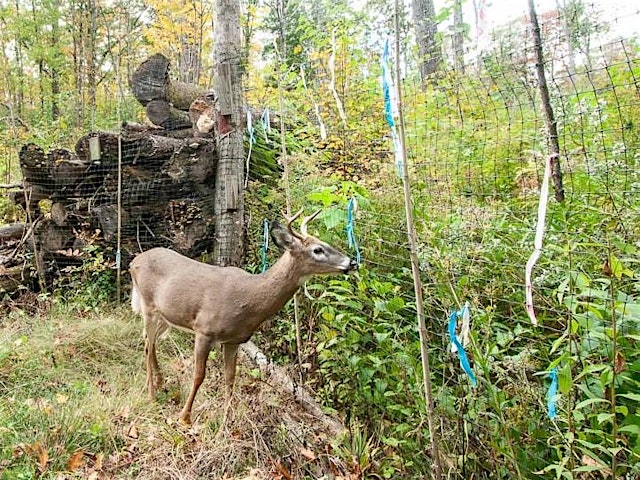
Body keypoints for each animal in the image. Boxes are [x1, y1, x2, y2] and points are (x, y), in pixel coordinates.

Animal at [129, 209, 358, 424]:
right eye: (317, 250)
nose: (352, 262)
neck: (248, 298)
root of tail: (134, 261)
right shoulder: (204, 330)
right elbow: (199, 376)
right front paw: (185, 418)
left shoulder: (234, 340)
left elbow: (230, 379)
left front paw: (226, 422)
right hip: (148, 305)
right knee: (147, 344)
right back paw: (151, 394)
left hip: (166, 316)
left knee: (149, 341)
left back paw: (159, 382)